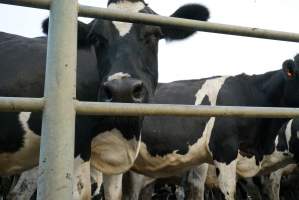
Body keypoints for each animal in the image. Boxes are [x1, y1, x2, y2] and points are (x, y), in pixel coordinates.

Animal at [0, 0, 211, 198]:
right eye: (96, 39)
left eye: (154, 35)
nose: (122, 91)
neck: (122, 131)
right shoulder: (74, 147)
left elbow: (114, 193)